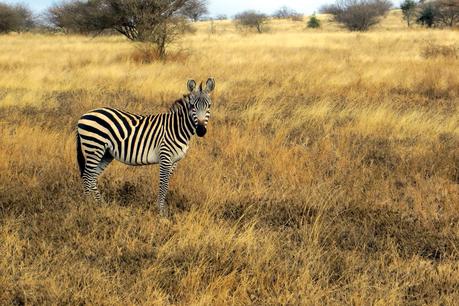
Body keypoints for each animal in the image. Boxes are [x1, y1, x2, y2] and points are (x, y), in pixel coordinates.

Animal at [76, 77, 217, 216]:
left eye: (209, 106)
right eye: (192, 106)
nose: (201, 130)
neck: (177, 128)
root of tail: (84, 115)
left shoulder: (174, 161)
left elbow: (167, 184)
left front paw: (162, 209)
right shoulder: (165, 157)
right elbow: (163, 184)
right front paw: (161, 212)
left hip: (105, 153)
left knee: (92, 177)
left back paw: (100, 204)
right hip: (94, 147)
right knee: (87, 176)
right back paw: (89, 206)